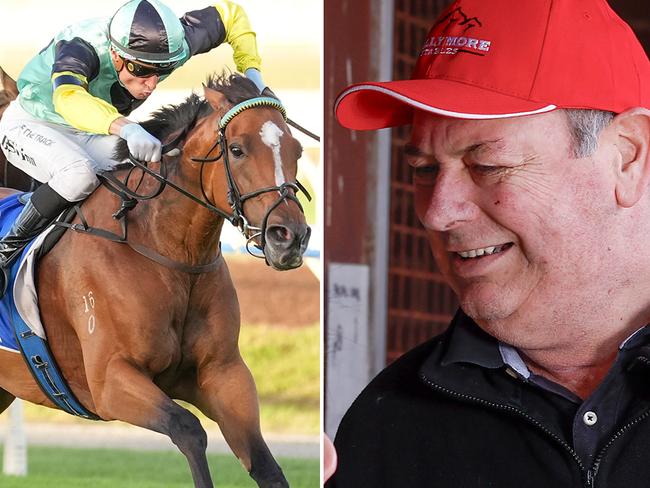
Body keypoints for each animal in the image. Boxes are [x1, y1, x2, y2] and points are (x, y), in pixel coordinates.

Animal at [0, 70, 312, 486]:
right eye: (237, 150)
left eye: (297, 151)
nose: (289, 237)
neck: (170, 252)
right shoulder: (109, 382)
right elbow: (189, 430)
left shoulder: (224, 374)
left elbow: (265, 463)